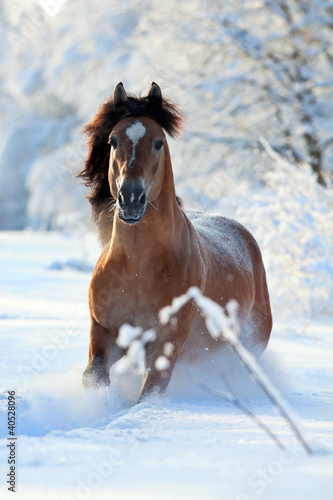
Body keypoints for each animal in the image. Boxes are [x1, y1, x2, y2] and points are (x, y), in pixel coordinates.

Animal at [79, 83, 272, 402]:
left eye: (158, 142)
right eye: (113, 141)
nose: (131, 199)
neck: (138, 268)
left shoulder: (166, 345)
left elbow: (149, 394)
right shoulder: (104, 331)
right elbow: (94, 377)